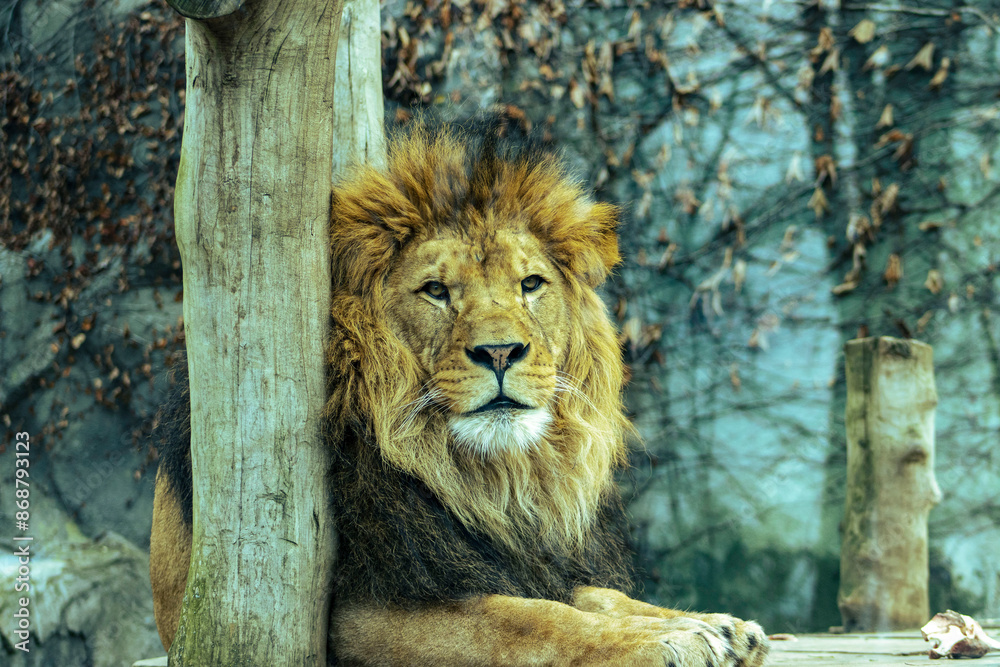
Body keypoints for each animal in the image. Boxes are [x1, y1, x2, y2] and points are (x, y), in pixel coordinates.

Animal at [149, 117, 769, 666]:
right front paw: (671, 640)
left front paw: (711, 624)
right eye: (436, 291)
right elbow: (524, 618)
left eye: (530, 284)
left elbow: (597, 595)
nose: (499, 353)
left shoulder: (522, 555)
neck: (490, 480)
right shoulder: (351, 613)